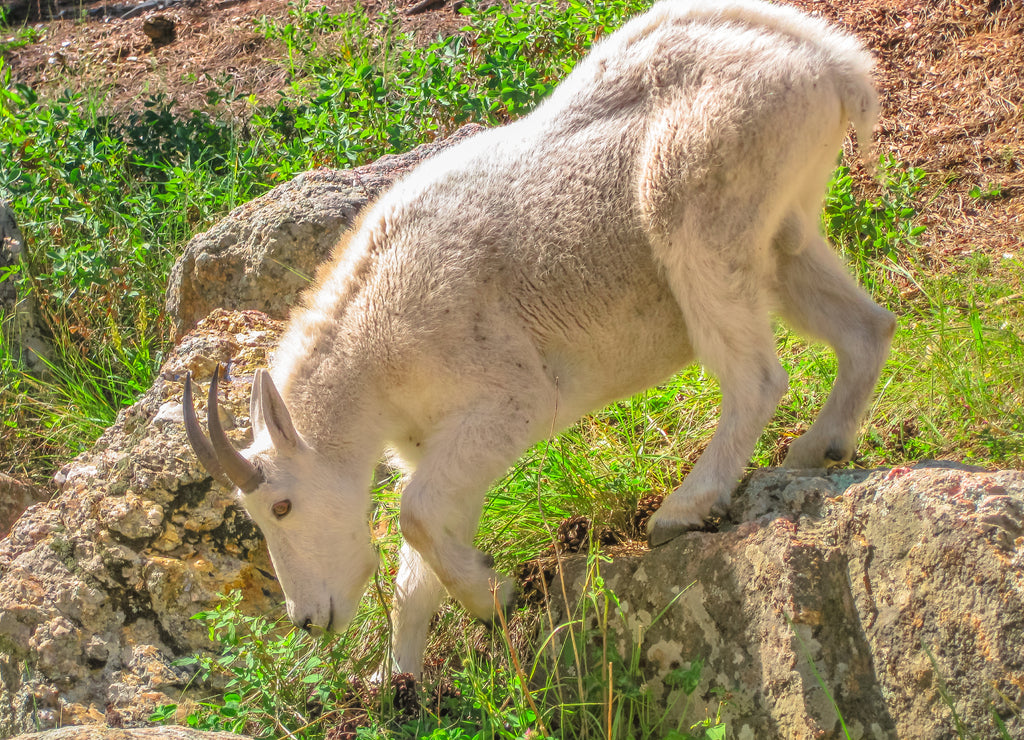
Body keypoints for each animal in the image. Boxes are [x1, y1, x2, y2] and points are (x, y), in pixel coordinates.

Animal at [184, 0, 896, 677]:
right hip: (783, 232)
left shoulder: (512, 400)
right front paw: (398, 680)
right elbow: (421, 558)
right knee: (867, 327)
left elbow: (415, 515)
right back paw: (817, 449)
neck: (374, 353)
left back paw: (684, 507)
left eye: (281, 506)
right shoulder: (435, 446)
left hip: (698, 209)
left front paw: (495, 596)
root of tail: (835, 66)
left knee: (756, 375)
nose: (308, 621)